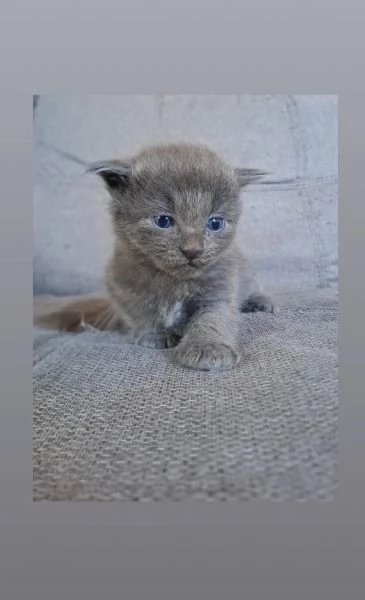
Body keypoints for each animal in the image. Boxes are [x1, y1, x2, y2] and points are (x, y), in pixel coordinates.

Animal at [34, 144, 272, 370]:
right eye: (163, 221)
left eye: (215, 223)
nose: (193, 250)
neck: (173, 281)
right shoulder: (120, 285)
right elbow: (140, 312)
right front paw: (154, 335)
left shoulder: (221, 287)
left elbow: (213, 317)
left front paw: (209, 347)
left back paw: (261, 303)